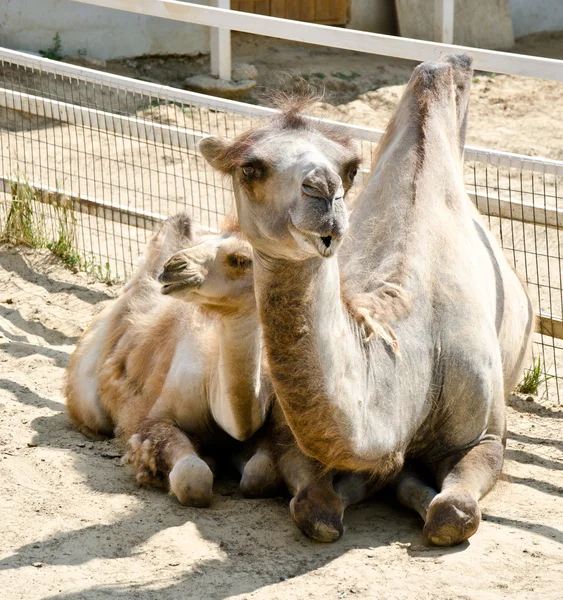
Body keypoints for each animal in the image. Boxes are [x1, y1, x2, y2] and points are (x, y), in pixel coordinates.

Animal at [66, 214, 368, 540]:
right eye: (204, 242)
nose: (173, 266)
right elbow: (192, 477)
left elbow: (260, 474)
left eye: (240, 260)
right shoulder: (153, 420)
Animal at [200, 54, 536, 548]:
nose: (324, 190)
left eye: (350, 168)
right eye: (251, 168)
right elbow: (314, 508)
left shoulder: (485, 438)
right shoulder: (290, 439)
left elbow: (452, 512)